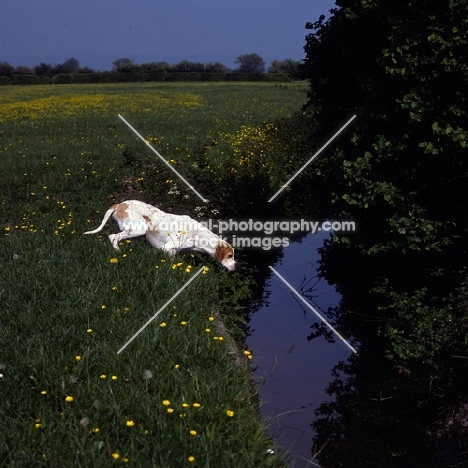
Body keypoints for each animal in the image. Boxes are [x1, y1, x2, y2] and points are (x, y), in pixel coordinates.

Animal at [84, 200, 236, 270]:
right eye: (230, 256)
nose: (236, 266)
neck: (198, 235)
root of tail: (120, 204)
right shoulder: (166, 248)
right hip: (140, 229)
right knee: (113, 237)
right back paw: (118, 252)